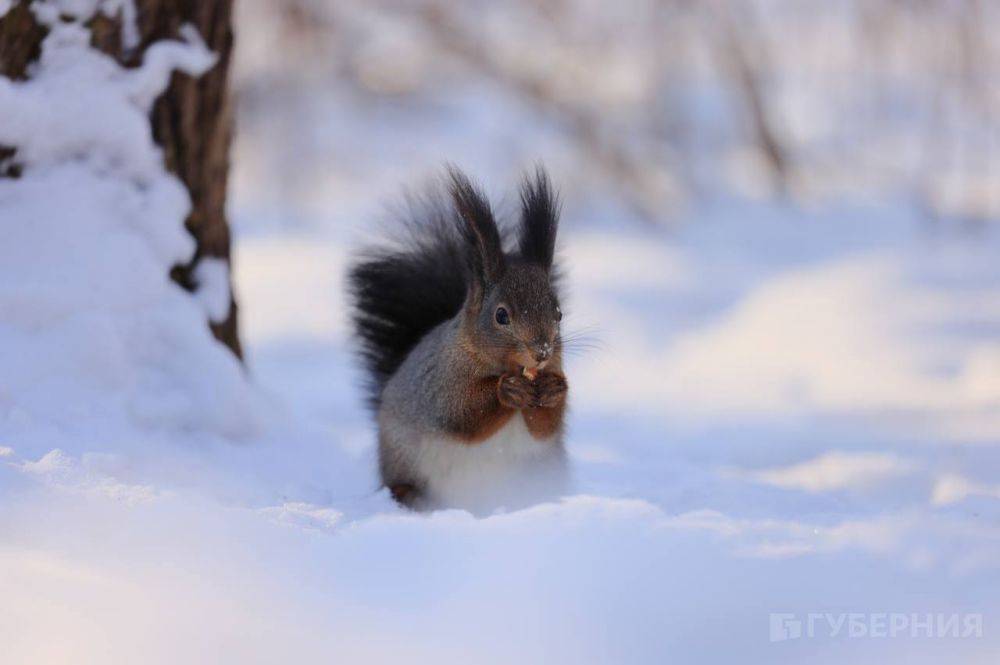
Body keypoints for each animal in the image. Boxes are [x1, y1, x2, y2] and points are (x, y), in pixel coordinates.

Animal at [350, 165, 572, 508]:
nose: (542, 351)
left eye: (558, 313)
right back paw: (405, 494)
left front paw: (552, 390)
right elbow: (462, 415)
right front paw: (506, 390)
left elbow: (545, 427)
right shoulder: (442, 383)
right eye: (501, 315)